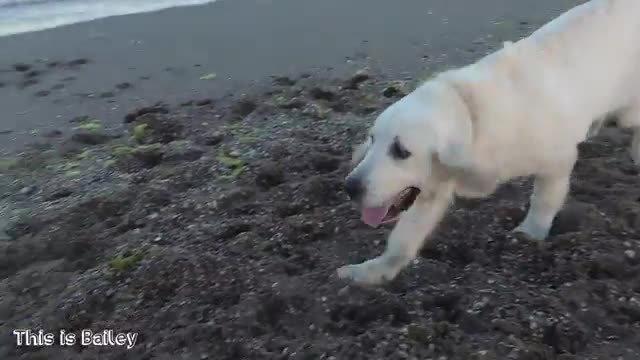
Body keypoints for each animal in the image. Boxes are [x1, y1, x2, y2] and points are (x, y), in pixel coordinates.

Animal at [338, 0, 640, 286]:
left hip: (627, 112)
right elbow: (403, 240)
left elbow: (544, 199)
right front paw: (372, 271)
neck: (472, 119)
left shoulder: (557, 160)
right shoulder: (433, 186)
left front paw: (529, 235)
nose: (350, 187)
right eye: (372, 139)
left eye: (401, 151)